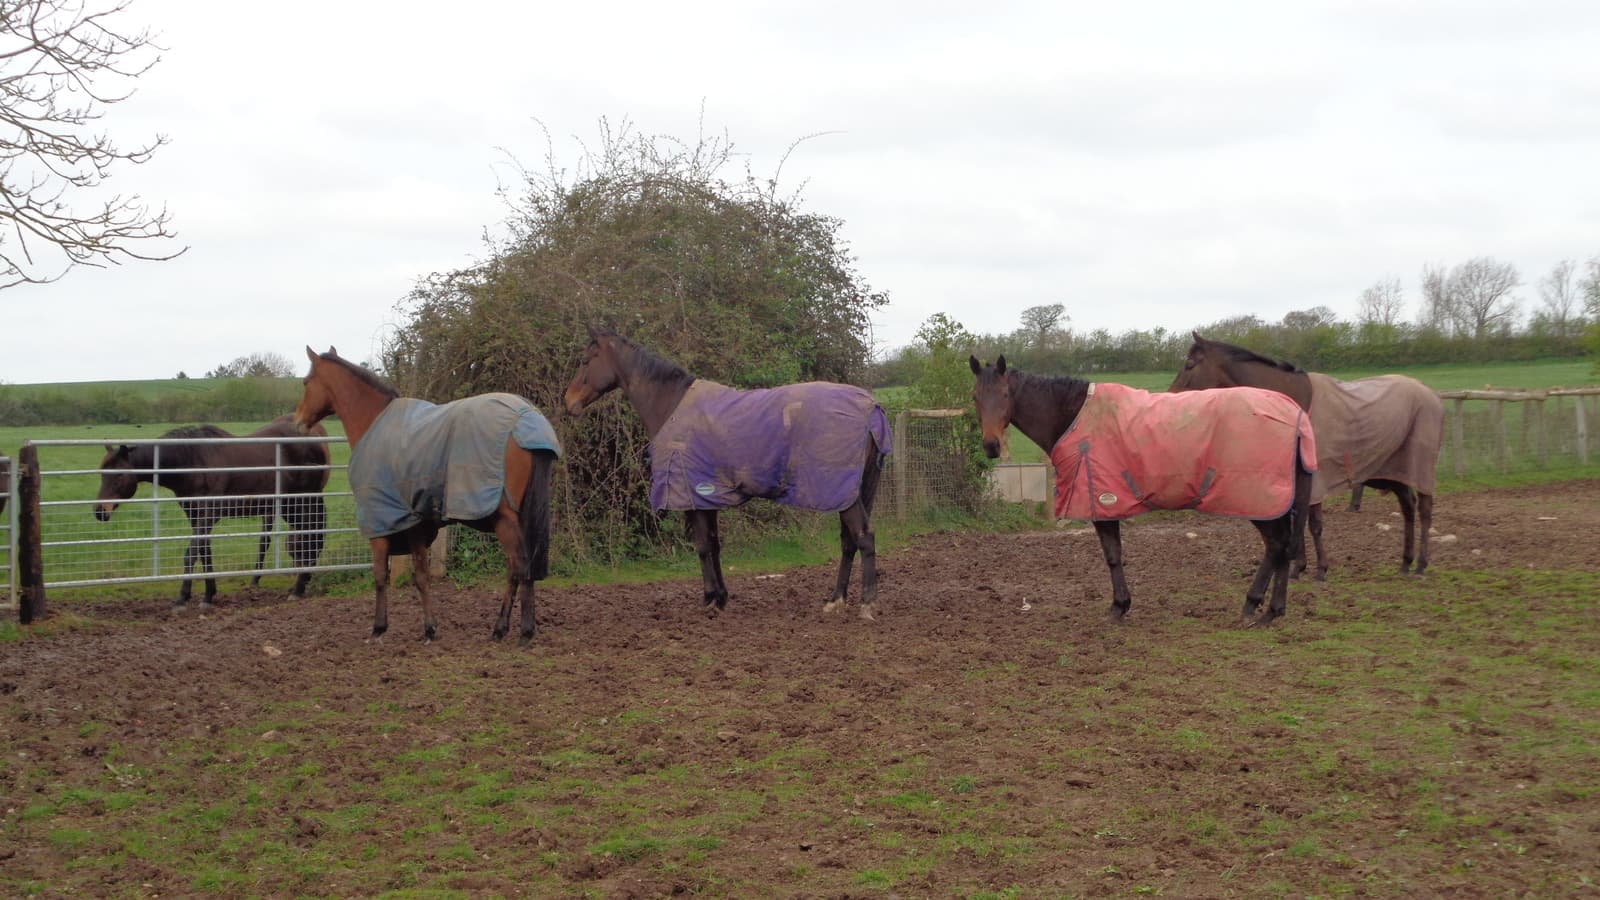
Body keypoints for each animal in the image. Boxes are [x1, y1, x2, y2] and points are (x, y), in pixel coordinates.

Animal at [94, 416, 331, 608]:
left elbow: (191, 554)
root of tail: (316, 442)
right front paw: (208, 595)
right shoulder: (195, 515)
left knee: (311, 538)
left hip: (300, 502)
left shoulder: (208, 515)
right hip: (289, 507)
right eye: (102, 475)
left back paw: (298, 589)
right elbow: (204, 552)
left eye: (119, 476)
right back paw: (302, 583)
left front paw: (182, 598)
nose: (100, 511)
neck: (192, 461)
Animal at [293, 347, 561, 646]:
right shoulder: (416, 524)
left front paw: (380, 627)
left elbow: (382, 576)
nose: (298, 421)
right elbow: (421, 576)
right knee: (516, 570)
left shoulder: (383, 524)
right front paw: (429, 627)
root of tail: (525, 418)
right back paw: (500, 628)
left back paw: (523, 631)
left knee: (520, 567)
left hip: (505, 519)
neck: (374, 423)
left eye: (305, 382)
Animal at [564, 326, 891, 620]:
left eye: (585, 360)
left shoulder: (692, 496)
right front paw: (721, 598)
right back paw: (835, 600)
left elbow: (702, 547)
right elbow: (715, 545)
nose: (569, 401)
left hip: (843, 493)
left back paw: (867, 604)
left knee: (863, 536)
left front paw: (710, 599)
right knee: (849, 540)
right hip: (852, 491)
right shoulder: (706, 497)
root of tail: (871, 408)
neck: (672, 406)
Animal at [970, 355, 1314, 625]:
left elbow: (1112, 555)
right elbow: (1115, 554)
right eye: (975, 396)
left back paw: (1264, 609)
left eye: (1005, 393)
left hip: (1259, 499)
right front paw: (1121, 605)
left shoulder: (1103, 502)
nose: (991, 446)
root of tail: (1292, 415)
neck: (1076, 417)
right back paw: (1265, 608)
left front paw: (1118, 607)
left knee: (1277, 545)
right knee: (1279, 546)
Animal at [1169, 334, 1443, 578]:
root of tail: (1431, 395)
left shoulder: (1314, 479)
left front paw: (1319, 568)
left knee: (1424, 510)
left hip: (1419, 466)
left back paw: (1421, 564)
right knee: (1408, 508)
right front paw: (1298, 567)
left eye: (1189, 364)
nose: (1171, 396)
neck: (1294, 406)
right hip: (1396, 471)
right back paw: (1406, 562)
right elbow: (1297, 523)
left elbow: (1313, 524)